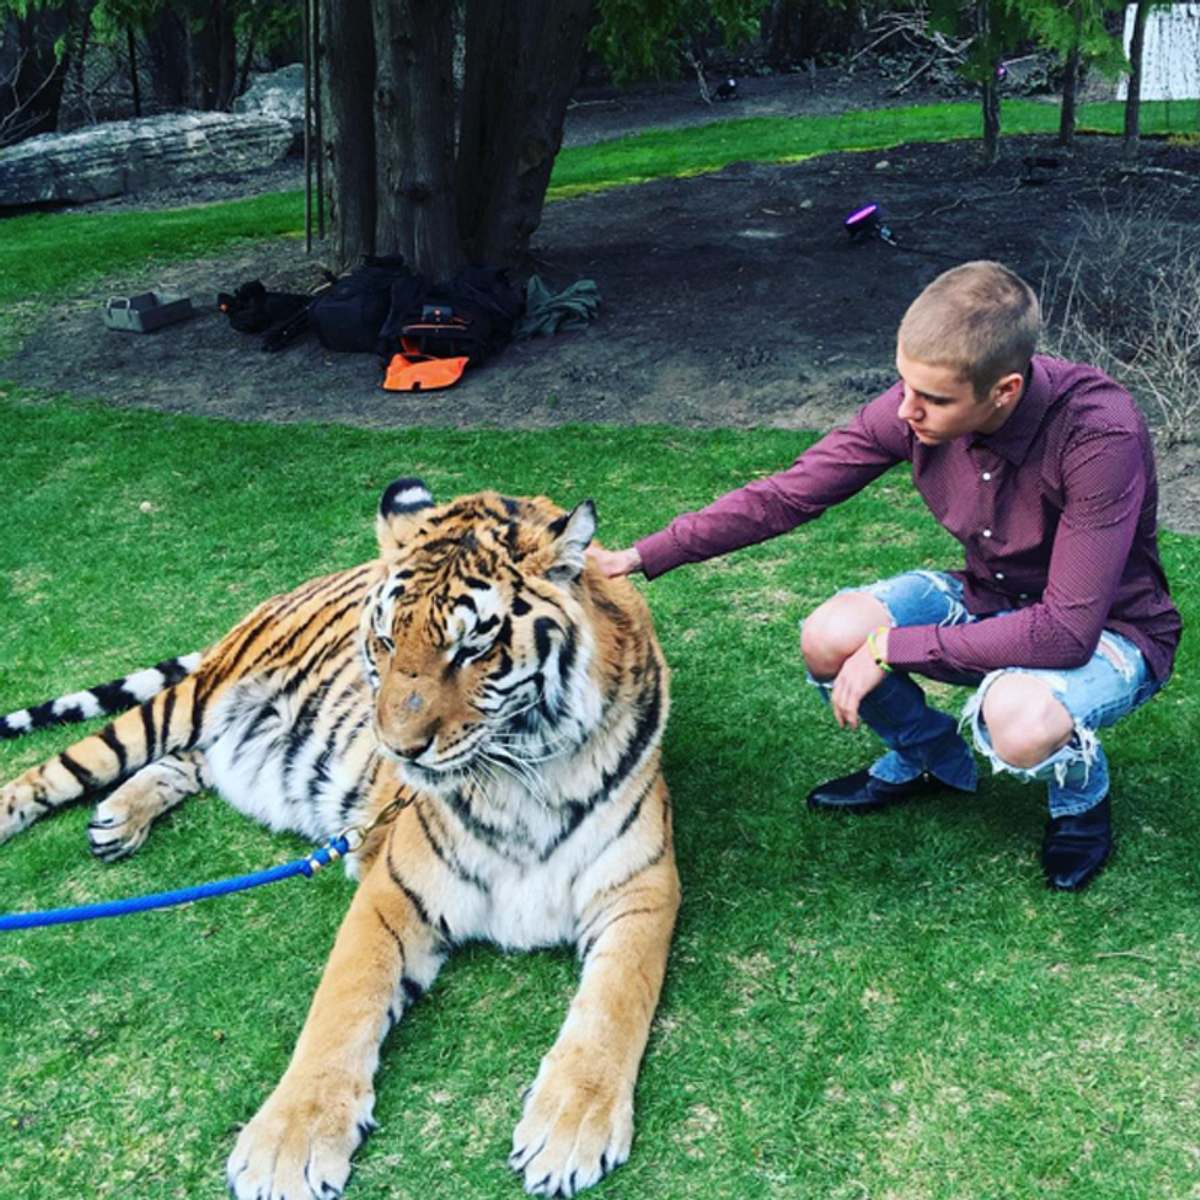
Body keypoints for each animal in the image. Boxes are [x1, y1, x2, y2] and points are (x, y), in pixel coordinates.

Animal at [0, 477, 676, 1200]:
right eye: (384, 642)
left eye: (472, 648)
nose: (397, 749)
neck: (520, 777)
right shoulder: (393, 892)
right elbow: (343, 1005)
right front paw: (288, 1144)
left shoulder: (643, 887)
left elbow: (613, 1004)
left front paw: (570, 1127)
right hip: (187, 702)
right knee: (60, 769)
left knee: (188, 763)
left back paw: (117, 821)